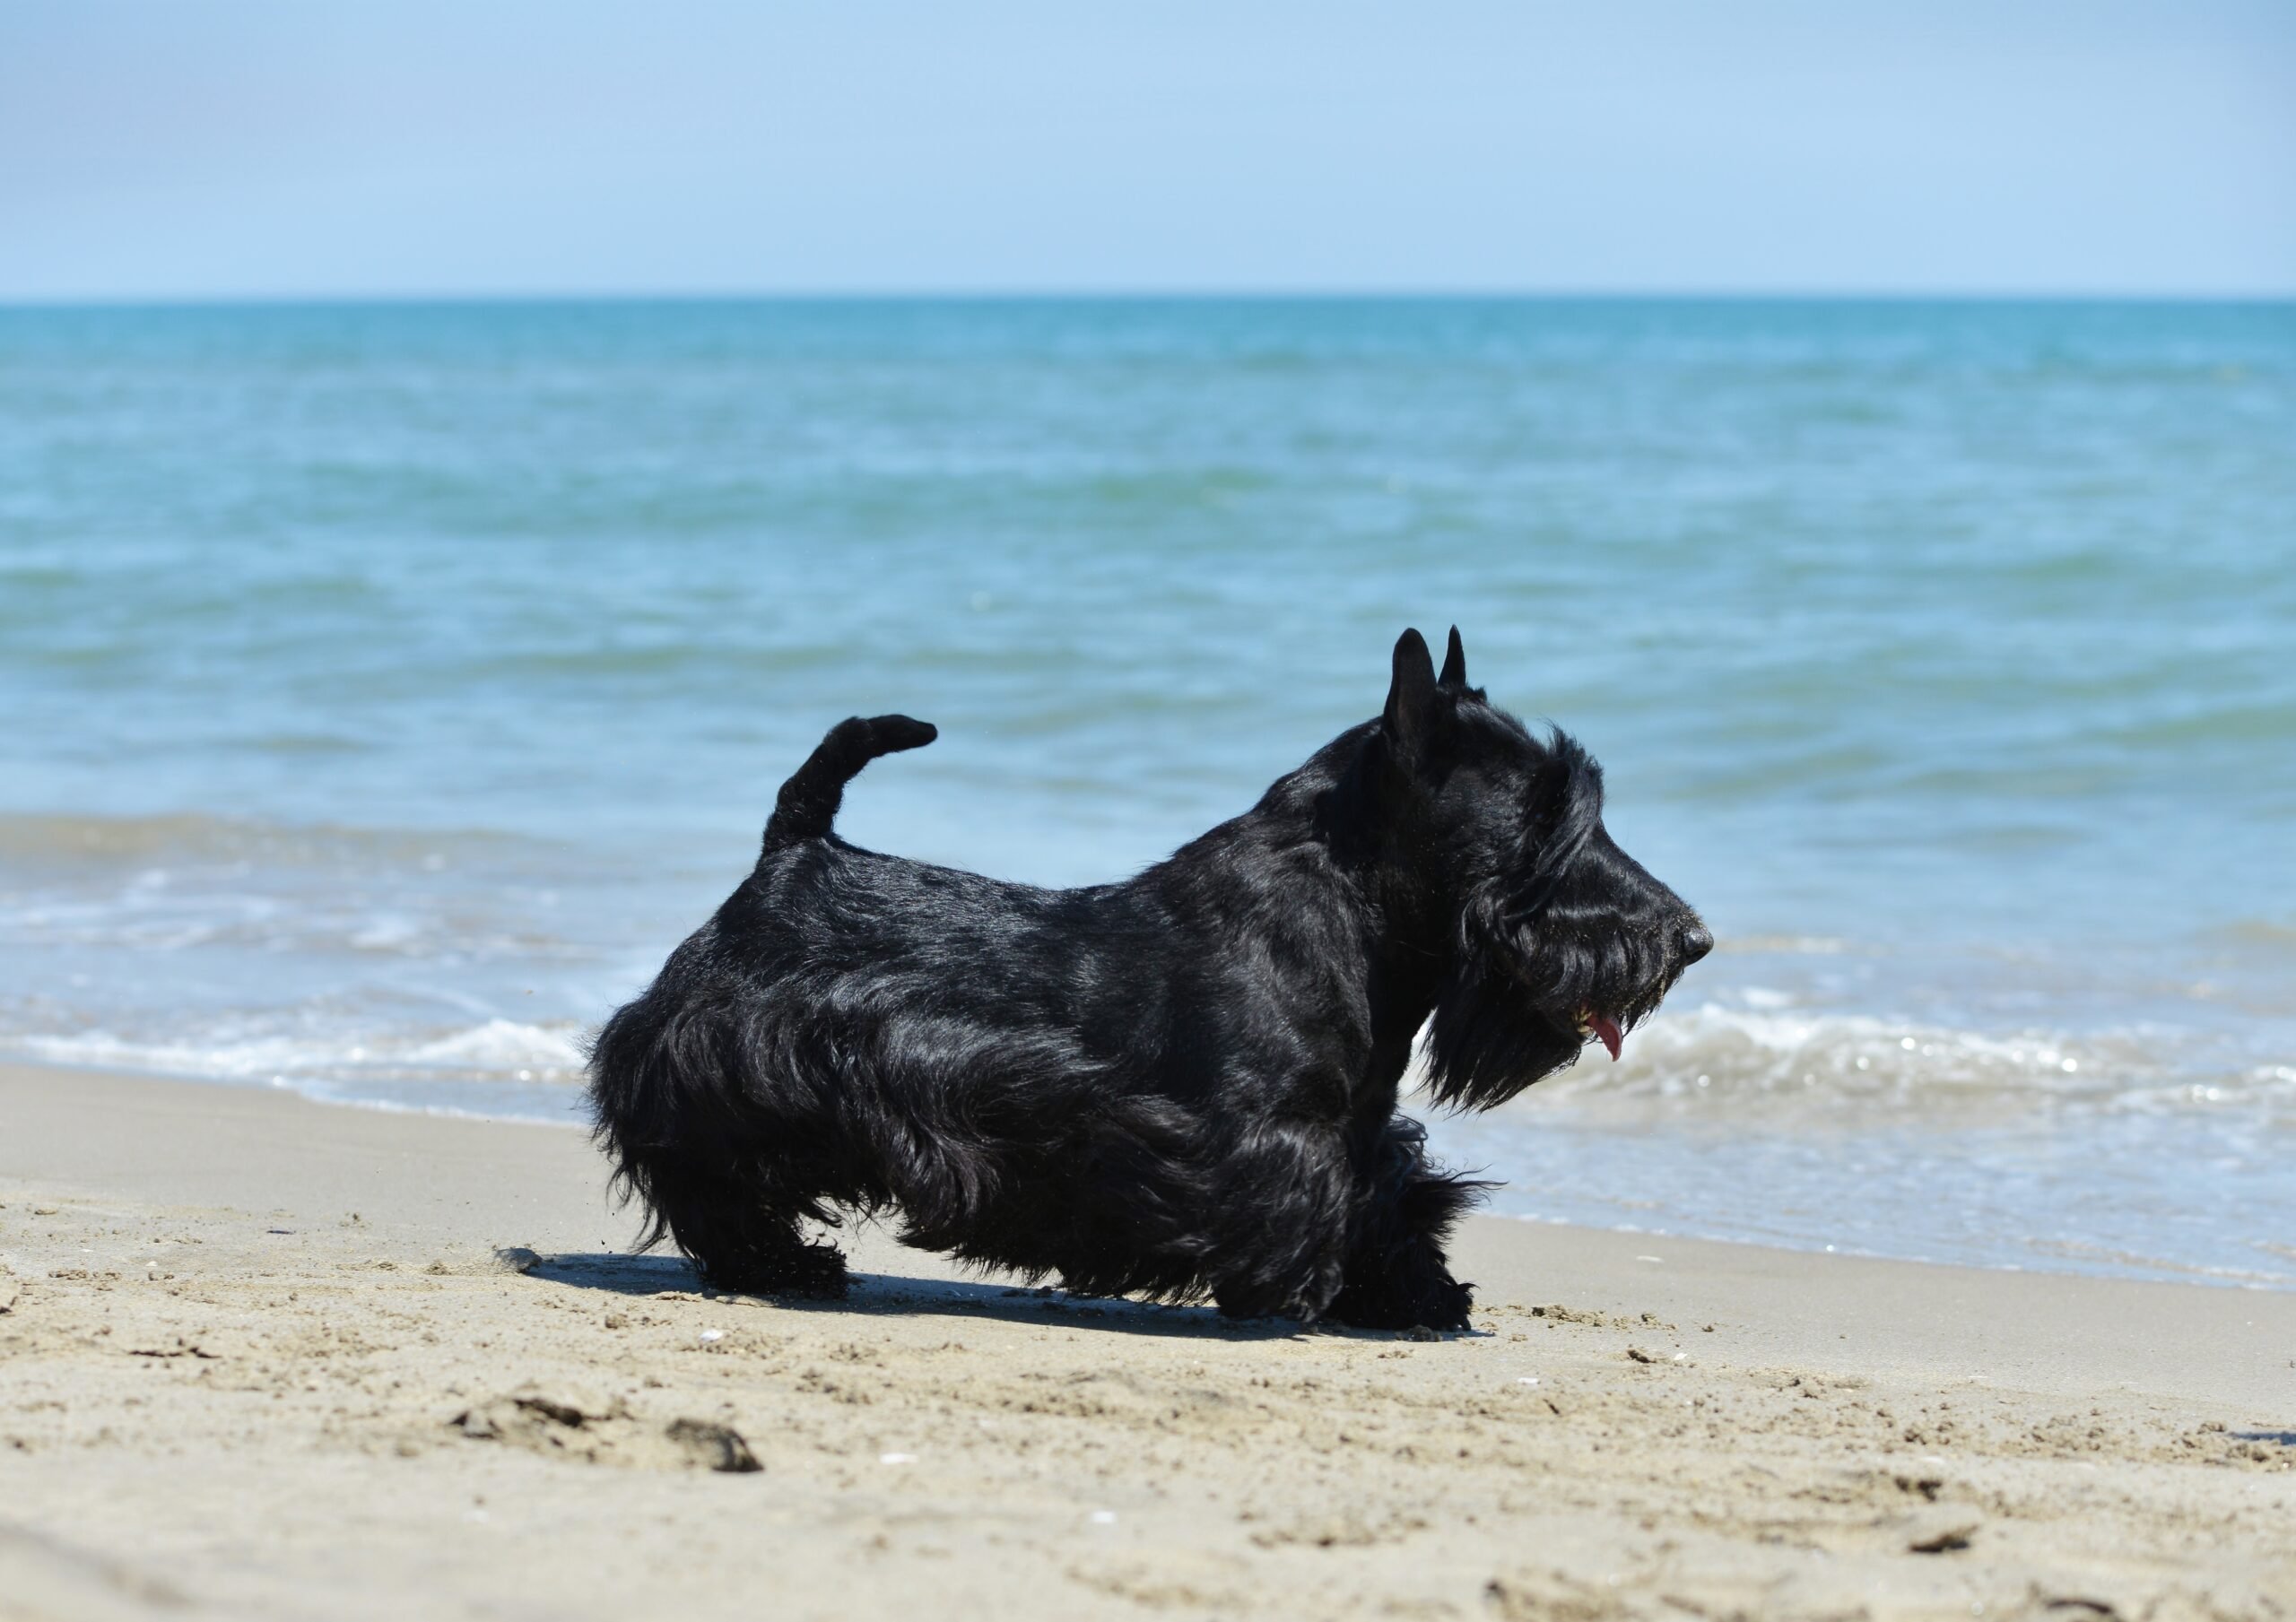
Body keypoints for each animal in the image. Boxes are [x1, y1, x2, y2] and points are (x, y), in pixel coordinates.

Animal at [592, 629, 1708, 1331]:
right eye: (1545, 813)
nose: (1691, 939)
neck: (1348, 915)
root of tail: (794, 850)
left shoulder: (1357, 1139)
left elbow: (1389, 1204)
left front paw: (1417, 1297)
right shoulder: (1243, 1144)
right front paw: (1297, 1289)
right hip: (727, 1077)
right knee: (705, 1176)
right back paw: (782, 1264)